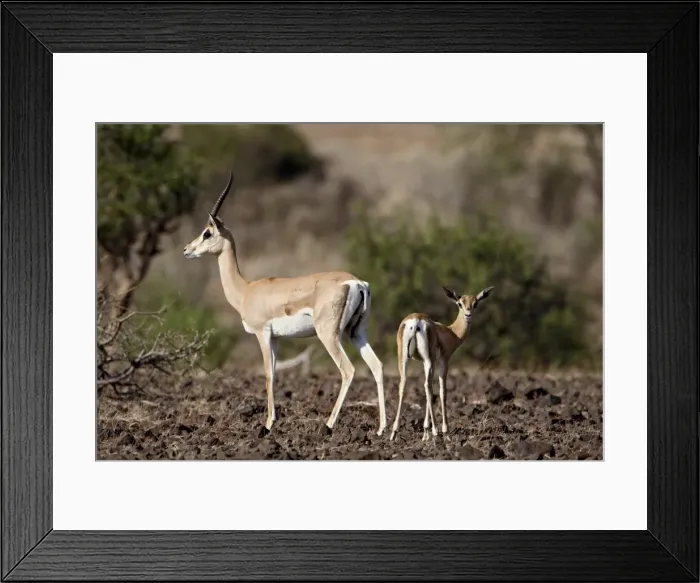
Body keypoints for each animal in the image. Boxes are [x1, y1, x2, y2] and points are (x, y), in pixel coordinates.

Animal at [183, 172, 387, 435]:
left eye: (207, 233)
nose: (187, 250)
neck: (246, 290)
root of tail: (356, 282)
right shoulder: (277, 338)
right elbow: (275, 373)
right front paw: (274, 420)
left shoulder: (262, 334)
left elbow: (268, 374)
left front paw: (268, 423)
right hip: (356, 332)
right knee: (377, 366)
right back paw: (383, 429)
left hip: (329, 334)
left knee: (348, 370)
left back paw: (329, 424)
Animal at [390, 285, 494, 441]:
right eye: (459, 303)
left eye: (475, 303)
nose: (468, 315)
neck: (451, 332)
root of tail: (416, 320)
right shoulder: (443, 361)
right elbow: (442, 391)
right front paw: (443, 431)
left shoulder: (427, 362)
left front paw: (425, 433)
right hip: (428, 359)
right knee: (427, 386)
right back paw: (436, 431)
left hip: (403, 358)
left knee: (404, 384)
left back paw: (394, 432)